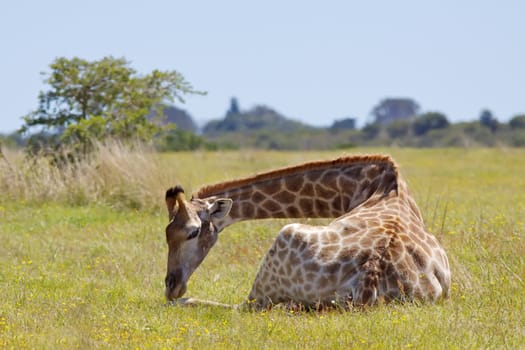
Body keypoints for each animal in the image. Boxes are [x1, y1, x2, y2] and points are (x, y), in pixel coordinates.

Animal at [164, 154, 450, 308]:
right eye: (166, 234)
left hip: (286, 235)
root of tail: (368, 284)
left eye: (192, 232)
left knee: (243, 306)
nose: (171, 287)